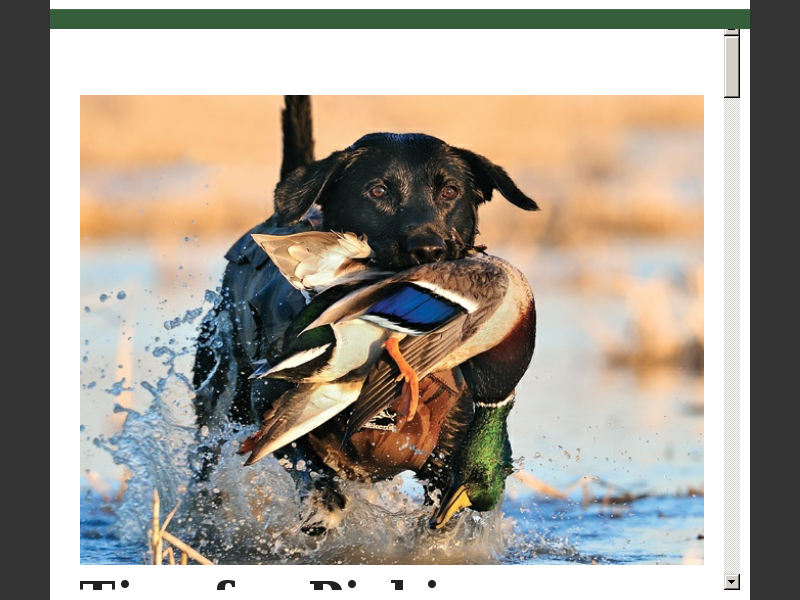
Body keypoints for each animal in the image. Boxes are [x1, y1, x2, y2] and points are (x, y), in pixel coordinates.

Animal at [192, 97, 536, 536]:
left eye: (450, 191)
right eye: (377, 190)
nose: (430, 249)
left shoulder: (451, 448)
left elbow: (446, 505)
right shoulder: (268, 405)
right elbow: (312, 473)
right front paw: (322, 509)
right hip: (218, 393)